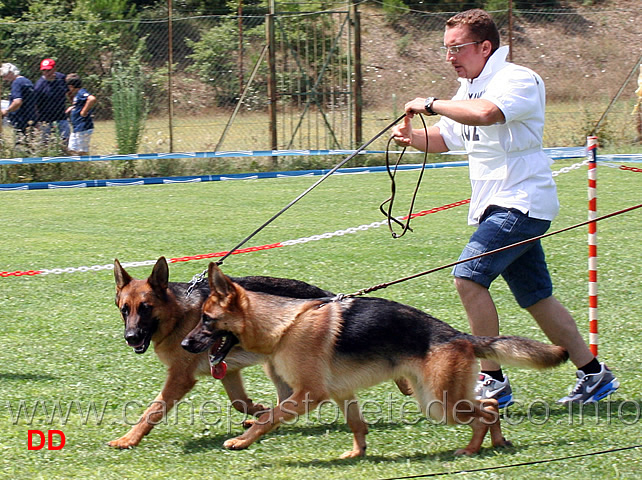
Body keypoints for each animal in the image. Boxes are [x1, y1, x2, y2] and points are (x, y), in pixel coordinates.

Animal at [107, 256, 332, 448]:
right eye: (125, 310)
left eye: (145, 308)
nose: (131, 337)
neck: (178, 314)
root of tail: (327, 296)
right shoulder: (225, 369)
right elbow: (238, 401)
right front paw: (260, 411)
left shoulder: (180, 377)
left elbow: (153, 410)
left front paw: (128, 439)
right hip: (273, 365)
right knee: (285, 395)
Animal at [182, 262, 568, 458]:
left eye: (207, 320)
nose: (184, 344)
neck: (284, 325)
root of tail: (458, 335)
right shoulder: (340, 393)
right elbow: (357, 424)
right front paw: (358, 453)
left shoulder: (308, 394)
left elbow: (268, 418)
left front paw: (241, 441)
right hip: (438, 400)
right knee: (488, 405)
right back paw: (495, 444)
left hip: (438, 404)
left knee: (486, 410)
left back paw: (474, 449)